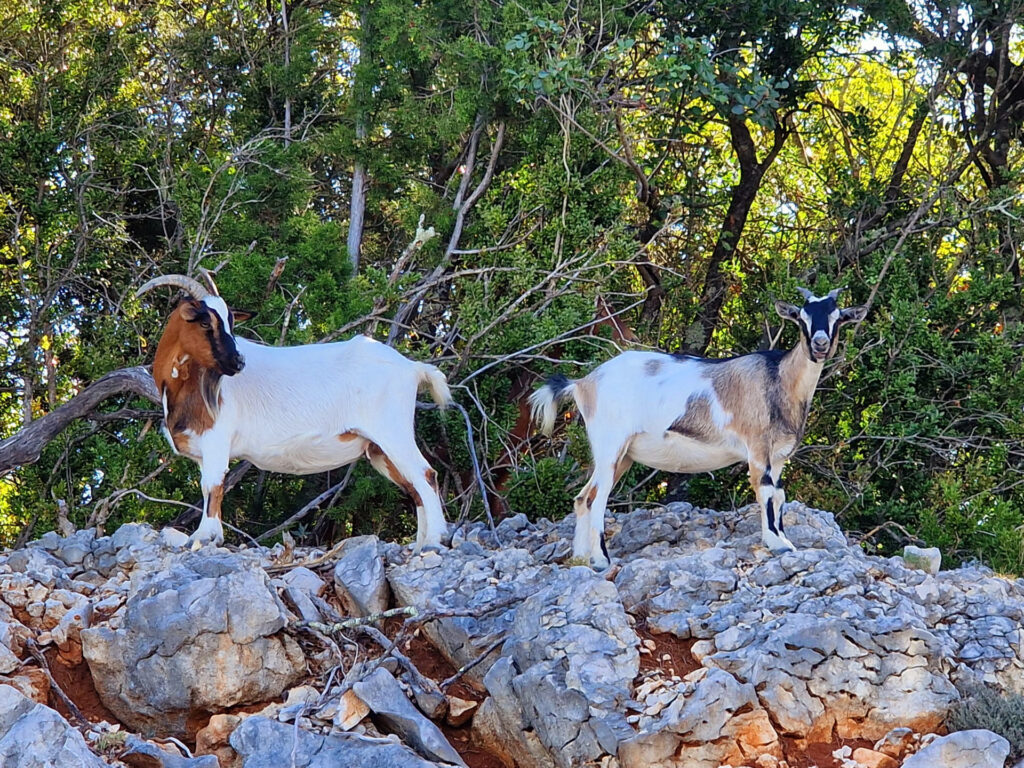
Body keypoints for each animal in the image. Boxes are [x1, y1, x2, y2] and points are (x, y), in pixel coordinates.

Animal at [137, 272, 451, 550]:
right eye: (204, 321)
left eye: (230, 322)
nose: (238, 361)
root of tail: (413, 367)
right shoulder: (202, 451)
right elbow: (207, 489)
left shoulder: (216, 440)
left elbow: (213, 486)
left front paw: (203, 537)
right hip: (378, 449)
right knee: (413, 486)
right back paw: (420, 543)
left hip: (392, 431)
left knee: (425, 474)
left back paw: (433, 542)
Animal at [529, 287, 867, 568]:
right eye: (801, 317)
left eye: (838, 318)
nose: (820, 344)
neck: (778, 378)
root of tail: (583, 383)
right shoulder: (757, 446)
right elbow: (765, 489)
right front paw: (776, 544)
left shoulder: (780, 455)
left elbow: (779, 494)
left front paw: (784, 539)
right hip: (609, 443)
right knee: (597, 499)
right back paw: (601, 560)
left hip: (622, 455)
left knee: (583, 497)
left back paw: (580, 557)